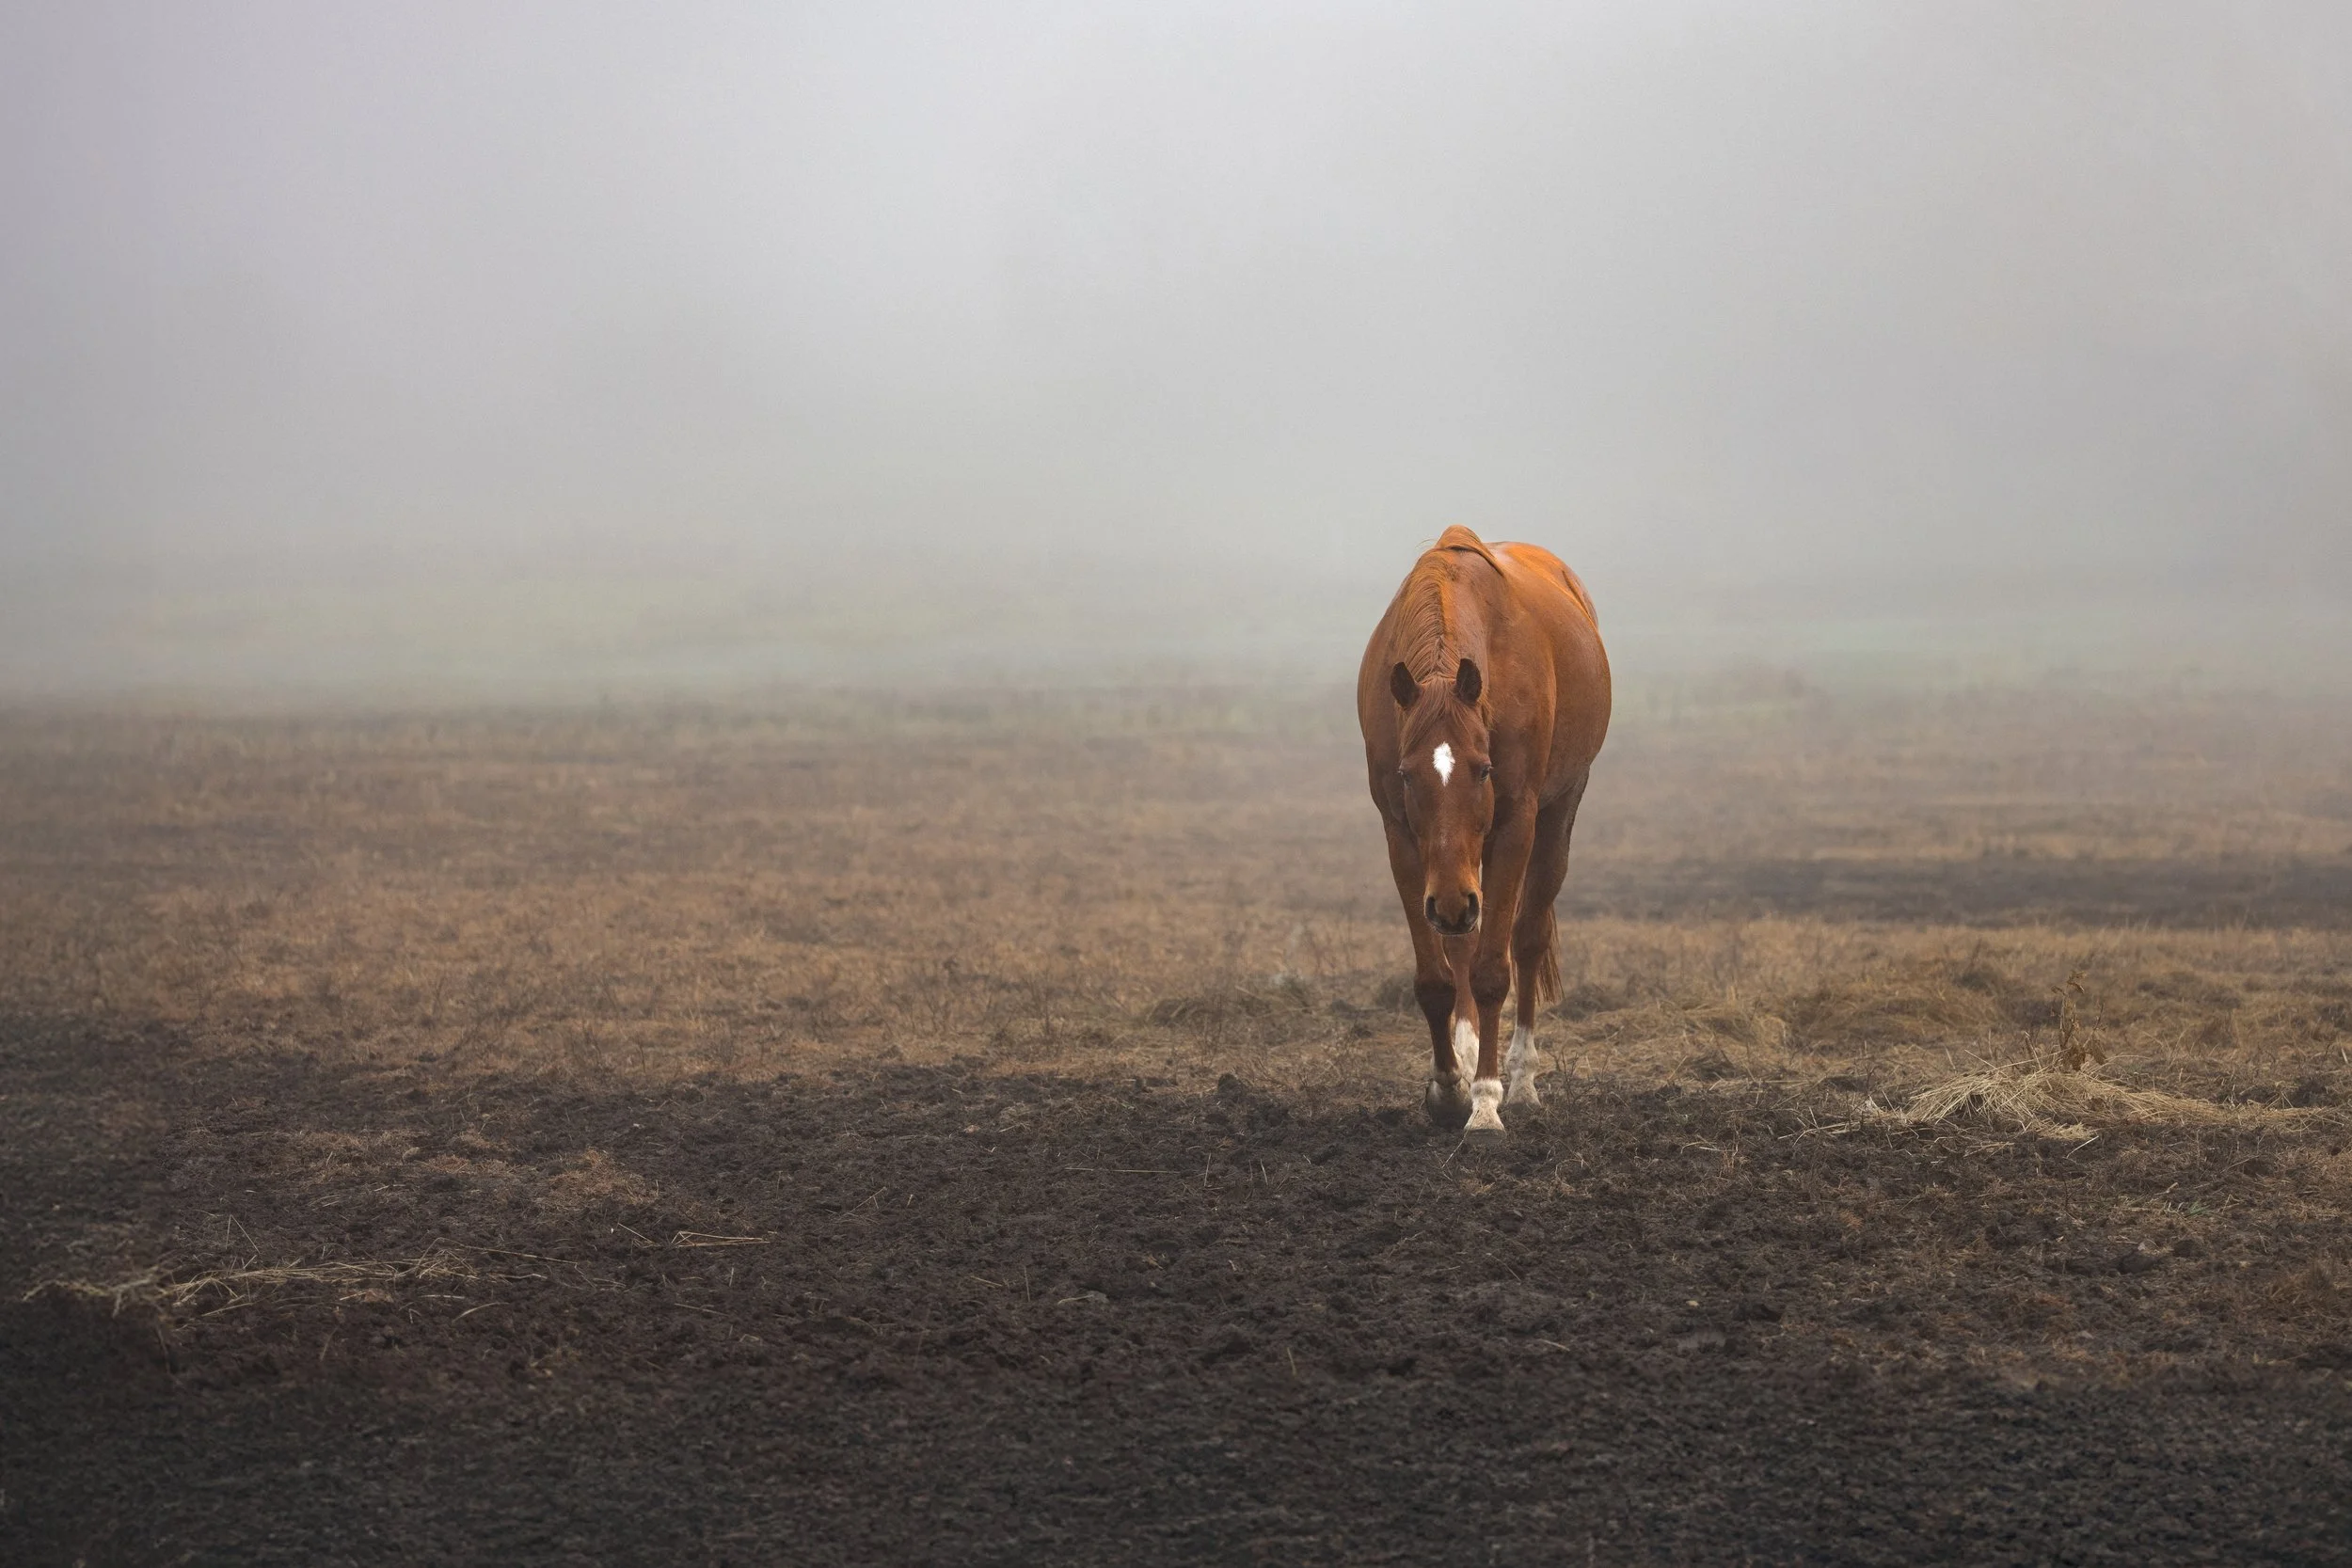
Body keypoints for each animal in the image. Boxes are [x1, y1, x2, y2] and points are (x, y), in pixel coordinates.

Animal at [1356, 526, 1611, 1134]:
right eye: (1406, 774)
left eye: (1484, 770)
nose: (1452, 903)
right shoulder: (1403, 838)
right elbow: (1437, 976)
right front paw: (1448, 1089)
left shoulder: (1515, 824)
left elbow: (1496, 969)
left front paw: (1488, 1102)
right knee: (1463, 942)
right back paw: (1470, 1053)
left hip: (1555, 815)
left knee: (1527, 938)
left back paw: (1521, 1082)